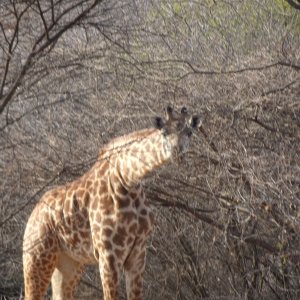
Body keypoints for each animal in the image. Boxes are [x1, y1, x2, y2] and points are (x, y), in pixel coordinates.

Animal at [23, 106, 202, 300]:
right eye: (164, 132)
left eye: (189, 132)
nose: (177, 153)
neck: (128, 178)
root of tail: (33, 215)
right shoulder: (108, 255)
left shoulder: (138, 254)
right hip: (37, 257)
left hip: (69, 263)